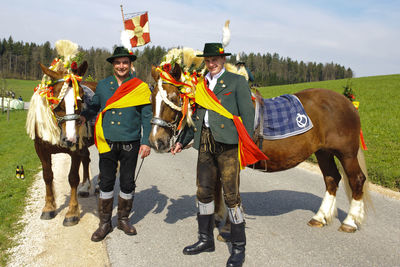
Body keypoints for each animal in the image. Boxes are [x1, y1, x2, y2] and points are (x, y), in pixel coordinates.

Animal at [25, 60, 96, 226]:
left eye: (82, 97)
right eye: (56, 99)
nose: (70, 138)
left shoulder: (75, 150)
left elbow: (73, 178)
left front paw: (72, 212)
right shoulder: (41, 150)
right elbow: (47, 175)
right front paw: (49, 207)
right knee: (87, 159)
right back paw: (85, 187)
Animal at [148, 63, 370, 234]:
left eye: (174, 98)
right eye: (151, 99)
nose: (156, 142)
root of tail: (347, 102)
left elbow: (230, 190)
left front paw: (228, 227)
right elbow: (219, 186)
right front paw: (218, 217)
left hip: (346, 153)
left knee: (356, 179)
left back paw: (350, 222)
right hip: (323, 152)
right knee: (332, 179)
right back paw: (320, 217)